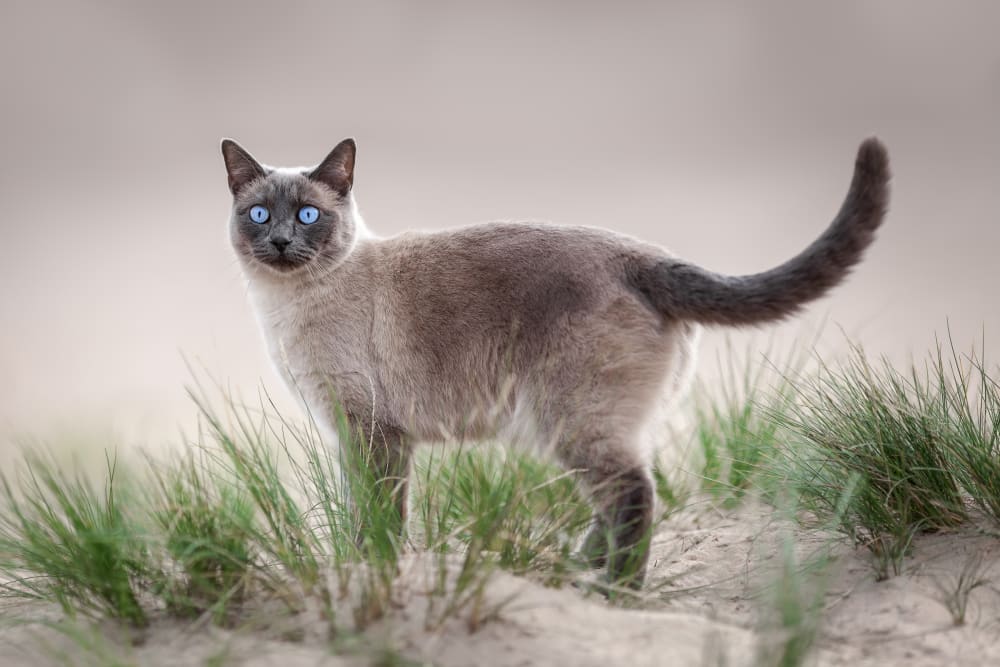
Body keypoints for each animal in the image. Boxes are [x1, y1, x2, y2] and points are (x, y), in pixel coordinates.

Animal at [221, 137, 892, 588]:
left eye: (308, 214)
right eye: (260, 214)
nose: (280, 241)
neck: (285, 305)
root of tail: (643, 255)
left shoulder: (373, 433)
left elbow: (379, 519)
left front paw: (370, 574)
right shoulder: (351, 436)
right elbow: (361, 511)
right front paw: (359, 568)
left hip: (568, 421)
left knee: (635, 495)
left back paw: (615, 593)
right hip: (580, 425)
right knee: (616, 501)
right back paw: (578, 568)